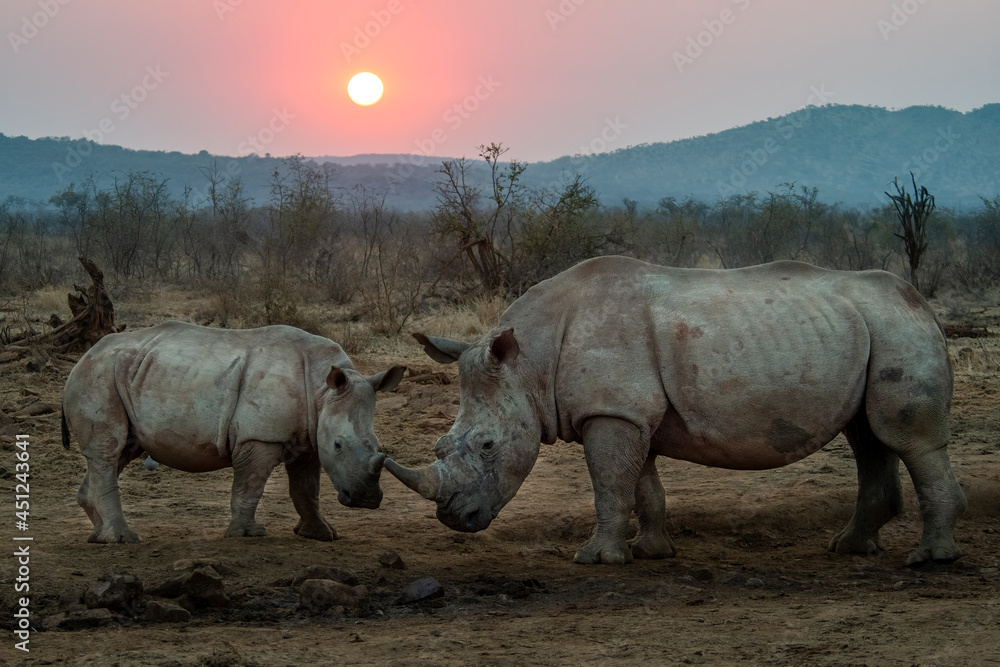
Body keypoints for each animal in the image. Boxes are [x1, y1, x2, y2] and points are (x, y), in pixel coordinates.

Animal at [62, 321, 405, 543]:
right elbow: (250, 486)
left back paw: (98, 536)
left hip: (124, 374)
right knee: (109, 451)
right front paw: (247, 535)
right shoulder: (261, 436)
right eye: (338, 446)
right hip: (98, 376)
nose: (366, 500)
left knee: (120, 452)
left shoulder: (309, 438)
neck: (322, 389)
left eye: (377, 445)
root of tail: (82, 358)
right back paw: (123, 539)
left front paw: (322, 534)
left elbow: (307, 490)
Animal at [386, 256, 967, 566]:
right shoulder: (627, 413)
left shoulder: (611, 413)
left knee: (907, 438)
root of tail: (923, 304)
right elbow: (641, 484)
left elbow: (609, 485)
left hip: (897, 327)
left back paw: (930, 560)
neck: (530, 362)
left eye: (488, 446)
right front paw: (650, 552)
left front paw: (597, 559)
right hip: (868, 330)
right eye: (439, 445)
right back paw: (849, 548)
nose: (453, 518)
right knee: (867, 436)